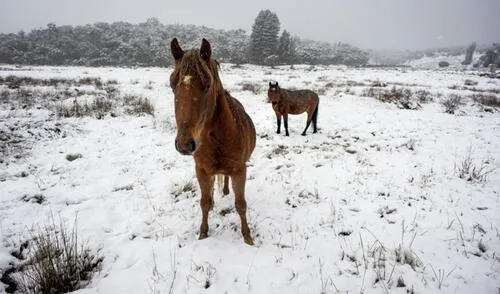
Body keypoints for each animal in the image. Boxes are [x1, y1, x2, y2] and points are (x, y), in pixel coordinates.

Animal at [171, 38, 258, 246]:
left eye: (208, 84)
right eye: (171, 84)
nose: (184, 144)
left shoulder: (239, 171)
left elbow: (241, 205)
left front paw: (247, 237)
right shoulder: (201, 171)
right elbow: (204, 203)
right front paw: (203, 233)